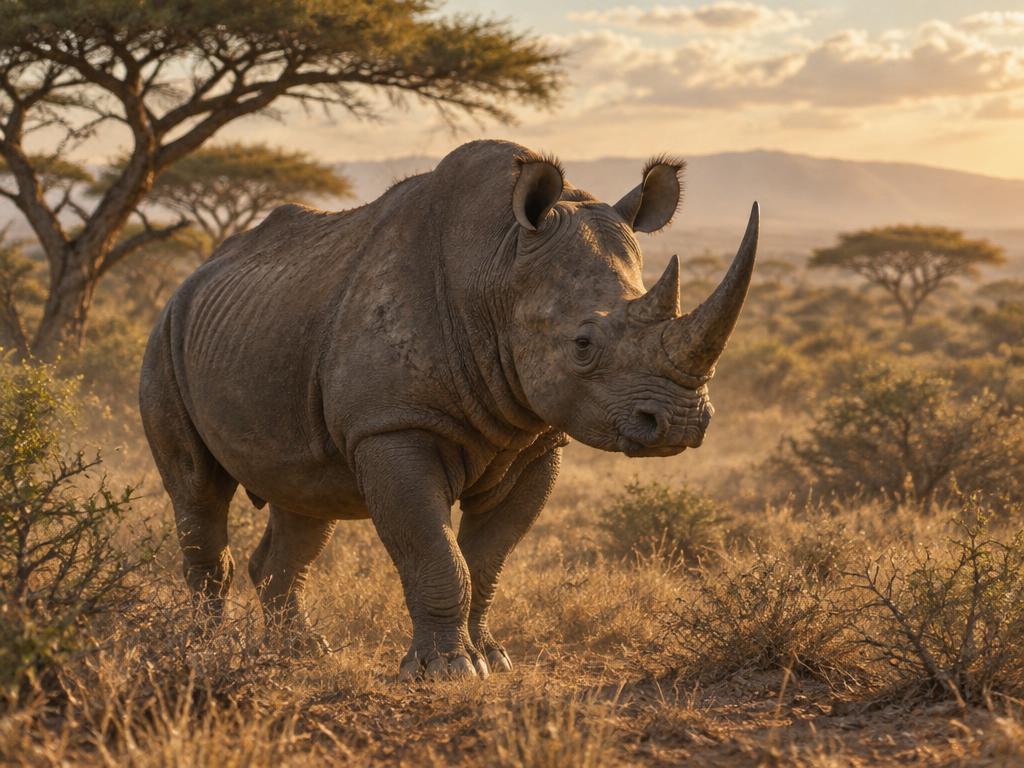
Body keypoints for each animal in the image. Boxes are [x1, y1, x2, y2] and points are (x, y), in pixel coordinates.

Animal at [140, 139, 758, 680]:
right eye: (583, 344)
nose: (680, 423)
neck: (498, 267)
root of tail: (190, 279)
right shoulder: (391, 426)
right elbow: (435, 552)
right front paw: (446, 670)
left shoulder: (535, 440)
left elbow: (485, 558)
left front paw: (492, 658)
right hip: (166, 337)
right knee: (199, 492)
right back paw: (203, 651)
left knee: (305, 501)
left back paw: (301, 653)